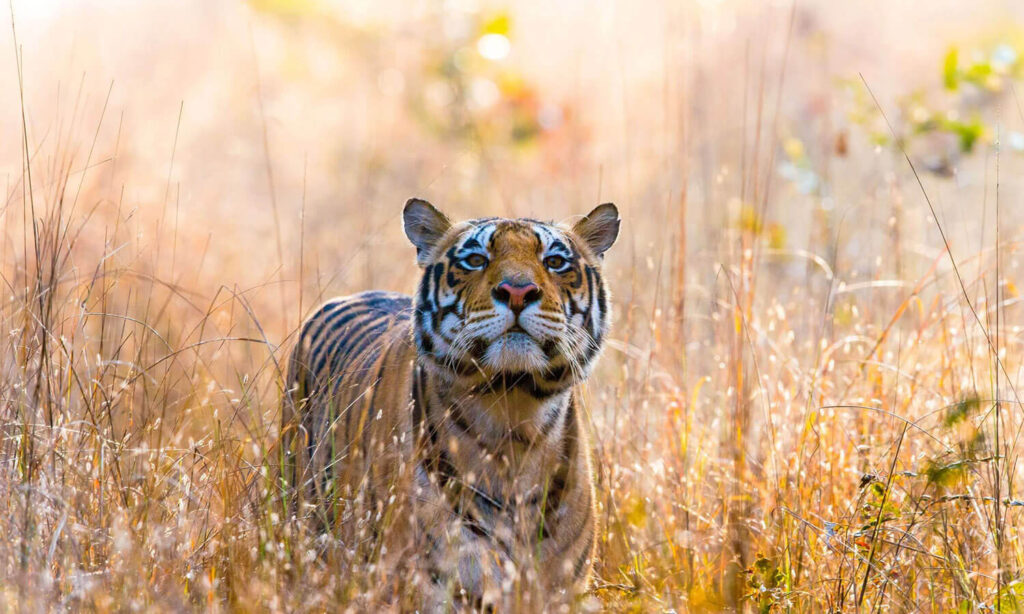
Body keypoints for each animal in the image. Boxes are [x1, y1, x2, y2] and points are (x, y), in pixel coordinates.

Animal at [278, 197, 614, 609]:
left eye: (554, 261)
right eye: (475, 259)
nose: (518, 291)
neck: (513, 417)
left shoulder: (559, 588)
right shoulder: (431, 582)